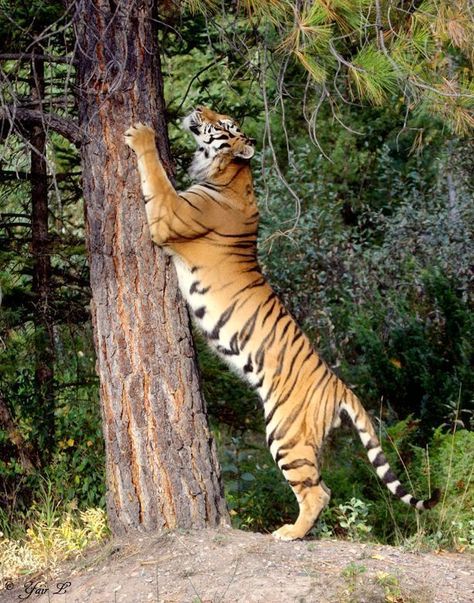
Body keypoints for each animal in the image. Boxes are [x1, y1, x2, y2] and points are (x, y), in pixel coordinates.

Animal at [124, 106, 438, 540]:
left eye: (223, 124)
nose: (200, 109)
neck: (229, 171)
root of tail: (340, 385)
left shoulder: (169, 214)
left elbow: (155, 173)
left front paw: (141, 134)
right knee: (323, 488)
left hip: (286, 434)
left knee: (317, 491)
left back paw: (288, 533)